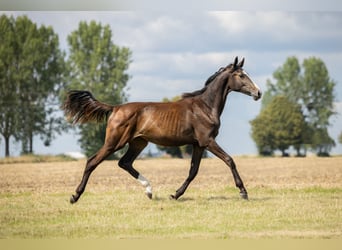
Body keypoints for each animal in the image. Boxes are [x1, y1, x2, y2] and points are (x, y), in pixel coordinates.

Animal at [62, 56, 262, 203]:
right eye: (241, 75)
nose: (258, 93)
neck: (205, 107)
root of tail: (115, 108)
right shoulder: (207, 141)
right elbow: (230, 160)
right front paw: (243, 192)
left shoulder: (198, 144)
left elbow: (193, 171)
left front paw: (175, 194)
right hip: (114, 142)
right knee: (92, 162)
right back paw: (75, 196)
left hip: (138, 143)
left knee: (124, 163)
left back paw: (149, 191)